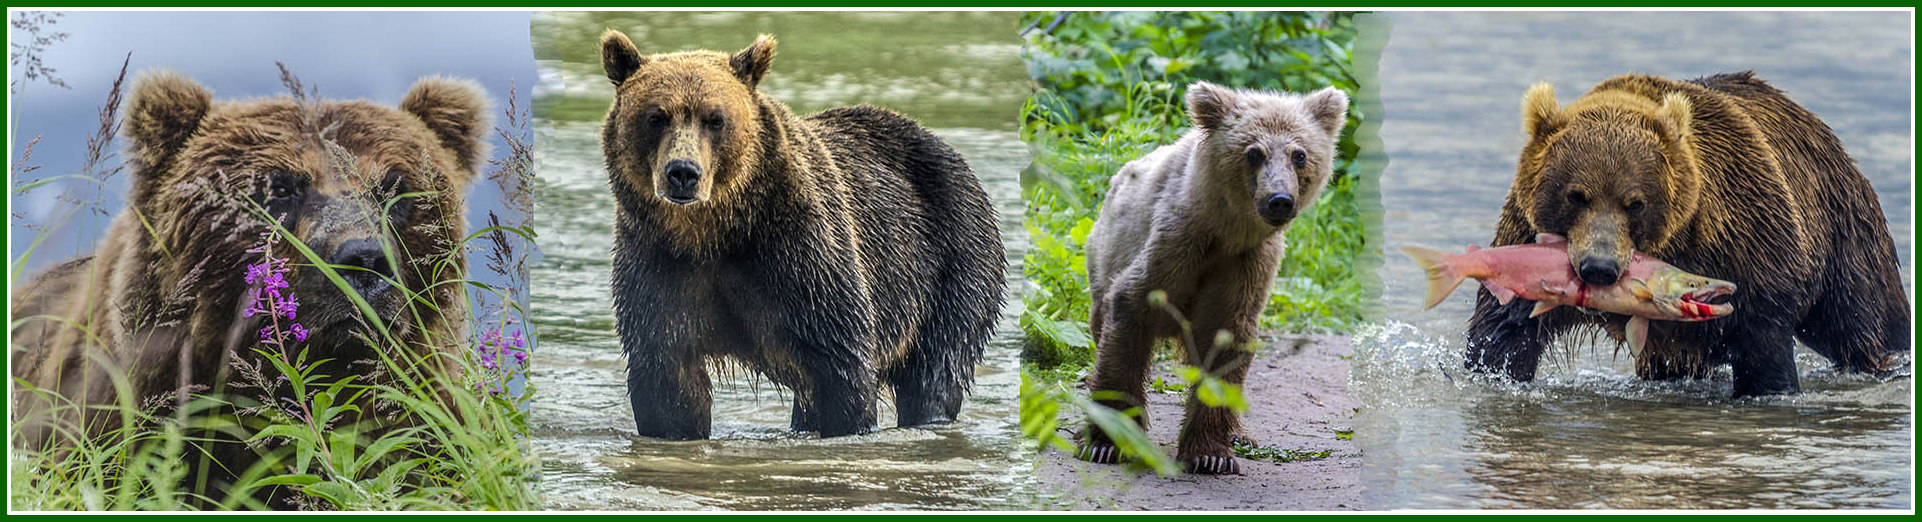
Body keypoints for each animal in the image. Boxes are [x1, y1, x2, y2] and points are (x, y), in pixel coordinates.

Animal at [599, 31, 1007, 441]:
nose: (683, 172)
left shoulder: (802, 256)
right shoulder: (659, 262)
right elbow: (667, 380)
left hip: (956, 258)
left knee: (936, 369)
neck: (716, 233)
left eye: (715, 119)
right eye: (656, 116)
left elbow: (841, 365)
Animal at [1076, 80, 1345, 472]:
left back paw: (1240, 434)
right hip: (1103, 255)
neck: (1225, 231)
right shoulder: (1176, 243)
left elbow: (1226, 340)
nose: (1279, 199)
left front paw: (1210, 454)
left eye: (1299, 154)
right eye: (1254, 153)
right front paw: (1106, 442)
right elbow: (1130, 310)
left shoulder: (1246, 264)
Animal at [1468, 72, 1906, 395]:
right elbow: (1504, 330)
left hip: (1845, 232)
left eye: (1635, 202)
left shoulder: (1746, 237)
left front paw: (1769, 388)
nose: (1599, 268)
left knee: (1865, 317)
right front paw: (1493, 367)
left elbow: (1764, 341)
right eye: (1576, 195)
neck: (1674, 245)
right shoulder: (1524, 242)